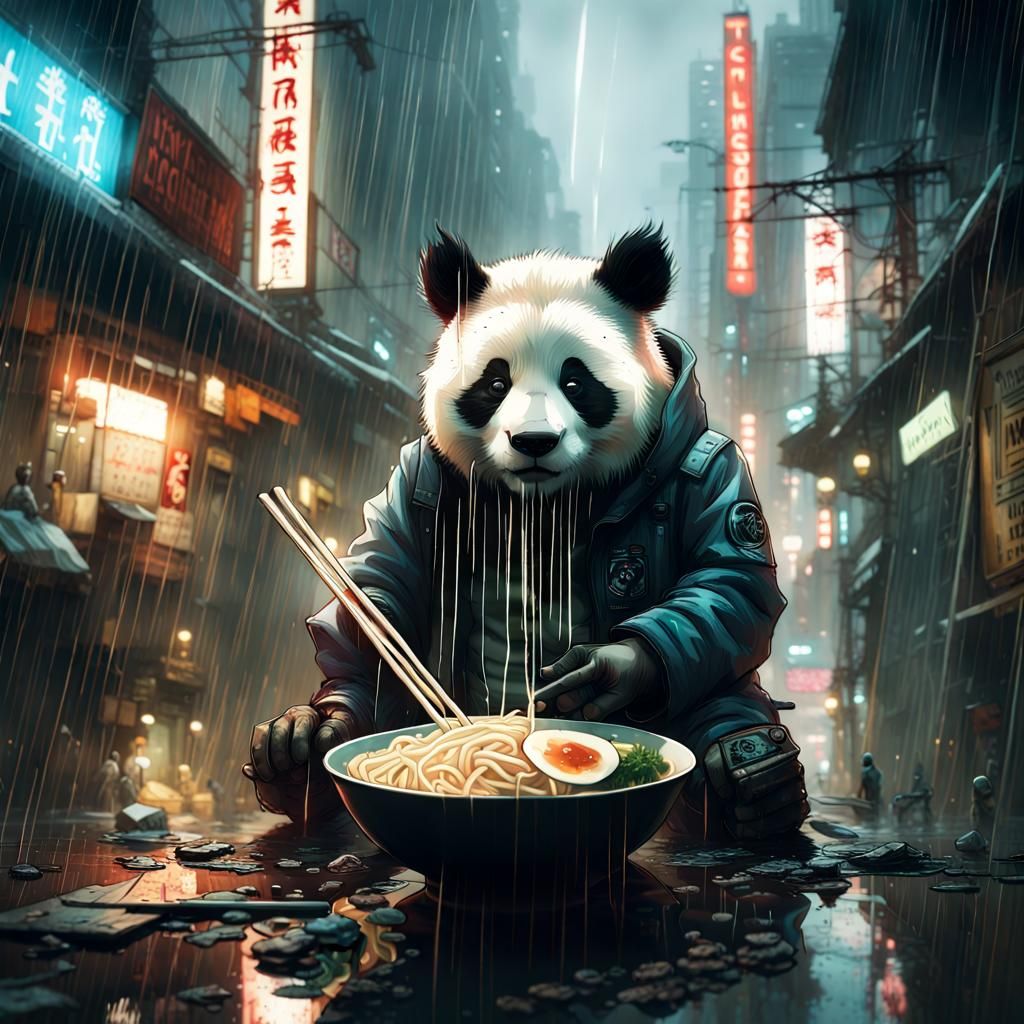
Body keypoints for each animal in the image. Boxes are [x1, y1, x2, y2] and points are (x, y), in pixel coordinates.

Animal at [245, 225, 808, 839]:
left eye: (576, 381)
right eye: (495, 382)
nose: (534, 441)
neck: (542, 505)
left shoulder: (707, 464)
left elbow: (729, 578)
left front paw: (612, 668)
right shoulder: (412, 477)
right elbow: (377, 585)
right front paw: (318, 728)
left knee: (724, 700)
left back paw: (756, 782)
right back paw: (293, 761)